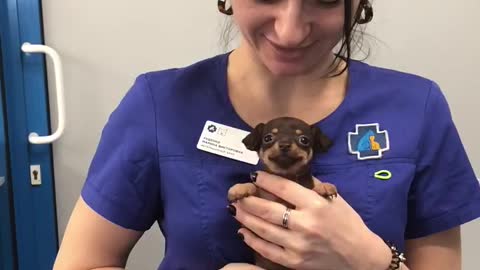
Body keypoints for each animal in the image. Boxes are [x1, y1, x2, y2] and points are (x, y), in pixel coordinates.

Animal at [228, 116, 338, 270]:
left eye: (304, 140)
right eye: (268, 138)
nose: (285, 145)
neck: (286, 176)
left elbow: (313, 189)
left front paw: (324, 187)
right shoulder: (249, 227)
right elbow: (254, 187)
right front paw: (240, 188)